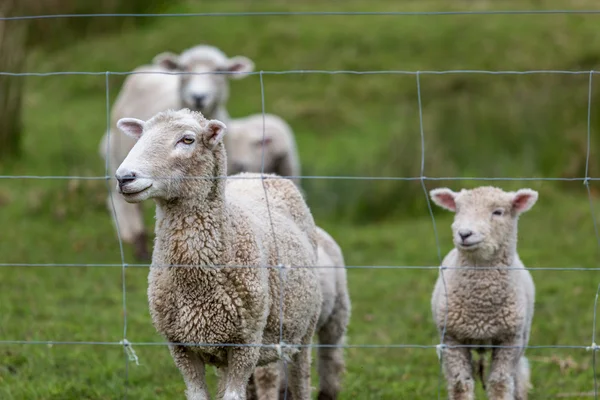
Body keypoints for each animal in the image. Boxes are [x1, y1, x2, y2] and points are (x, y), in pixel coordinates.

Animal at [113, 107, 324, 400]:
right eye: (141, 136)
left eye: (187, 140)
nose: (124, 178)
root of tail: (254, 174)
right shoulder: (181, 347)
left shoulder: (246, 344)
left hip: (302, 332)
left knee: (301, 378)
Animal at [428, 187, 536, 400]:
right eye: (458, 209)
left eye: (498, 212)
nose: (464, 234)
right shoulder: (452, 340)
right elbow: (460, 386)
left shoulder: (509, 341)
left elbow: (500, 384)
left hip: (522, 338)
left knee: (518, 375)